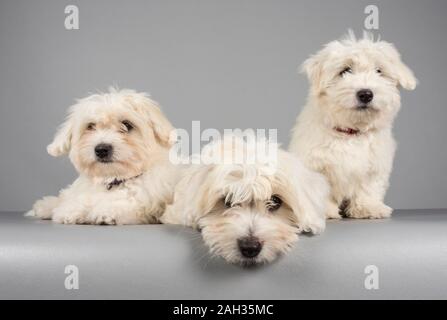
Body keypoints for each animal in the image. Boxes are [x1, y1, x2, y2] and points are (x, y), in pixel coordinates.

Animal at [26, 87, 178, 225]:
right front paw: (72, 210)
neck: (112, 179)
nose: (102, 149)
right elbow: (77, 200)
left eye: (127, 125)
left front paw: (106, 211)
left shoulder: (146, 202)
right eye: (90, 126)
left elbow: (126, 204)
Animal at [288, 31, 418, 219]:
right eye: (345, 71)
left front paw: (368, 207)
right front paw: (324, 211)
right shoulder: (316, 164)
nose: (365, 94)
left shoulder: (374, 165)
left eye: (379, 71)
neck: (351, 131)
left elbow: (368, 187)